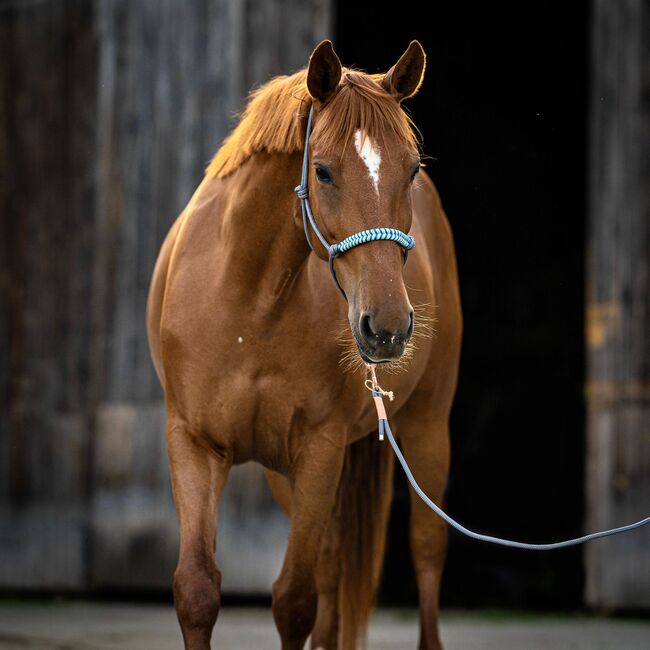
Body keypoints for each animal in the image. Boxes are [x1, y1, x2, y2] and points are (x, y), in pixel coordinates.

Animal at [147, 39, 462, 650]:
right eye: (322, 171)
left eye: (411, 169)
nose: (387, 327)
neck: (246, 300)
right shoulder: (192, 443)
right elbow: (196, 591)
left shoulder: (319, 448)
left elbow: (294, 601)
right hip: (282, 474)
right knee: (334, 571)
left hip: (426, 425)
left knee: (426, 551)